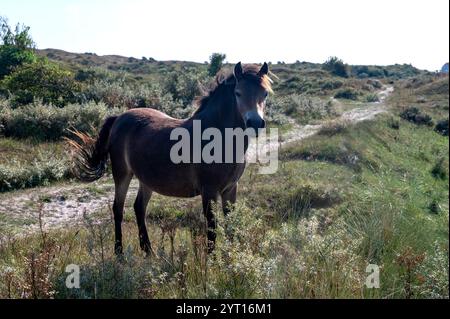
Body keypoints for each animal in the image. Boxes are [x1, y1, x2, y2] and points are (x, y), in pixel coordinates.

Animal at [70, 62, 272, 256]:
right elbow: (212, 229)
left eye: (265, 94)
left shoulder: (230, 189)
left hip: (146, 179)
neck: (217, 138)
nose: (255, 123)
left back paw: (149, 251)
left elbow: (231, 225)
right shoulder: (209, 191)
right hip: (122, 174)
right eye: (238, 93)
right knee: (118, 209)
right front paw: (213, 262)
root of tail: (119, 117)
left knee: (139, 208)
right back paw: (119, 253)